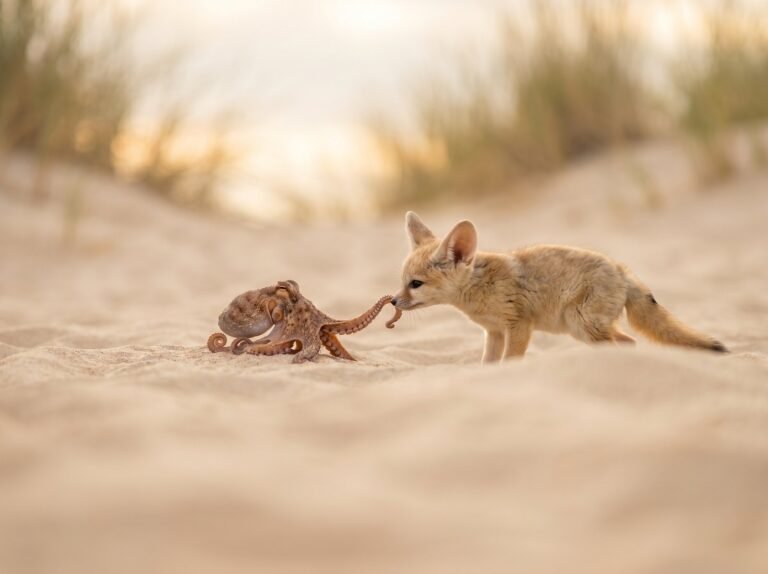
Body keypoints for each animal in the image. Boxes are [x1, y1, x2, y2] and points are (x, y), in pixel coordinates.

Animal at [391, 212, 727, 362]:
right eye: (402, 282)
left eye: (415, 284)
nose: (393, 301)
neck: (480, 287)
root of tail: (620, 269)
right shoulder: (494, 332)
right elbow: (488, 364)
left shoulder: (518, 326)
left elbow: (510, 361)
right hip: (581, 329)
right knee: (628, 342)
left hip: (582, 323)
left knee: (623, 343)